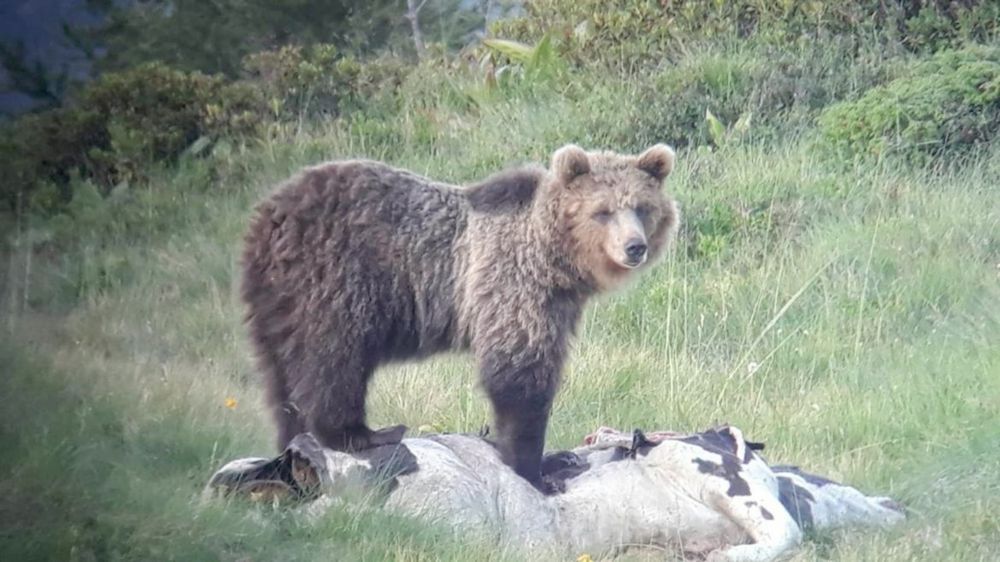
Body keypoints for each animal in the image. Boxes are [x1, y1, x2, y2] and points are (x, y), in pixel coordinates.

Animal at [240, 143, 680, 490]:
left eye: (642, 208)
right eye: (602, 211)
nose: (634, 247)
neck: (555, 259)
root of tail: (268, 216)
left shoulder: (558, 302)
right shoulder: (512, 283)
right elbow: (519, 373)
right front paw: (534, 468)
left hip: (277, 302)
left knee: (281, 376)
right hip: (336, 279)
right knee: (334, 357)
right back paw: (362, 434)